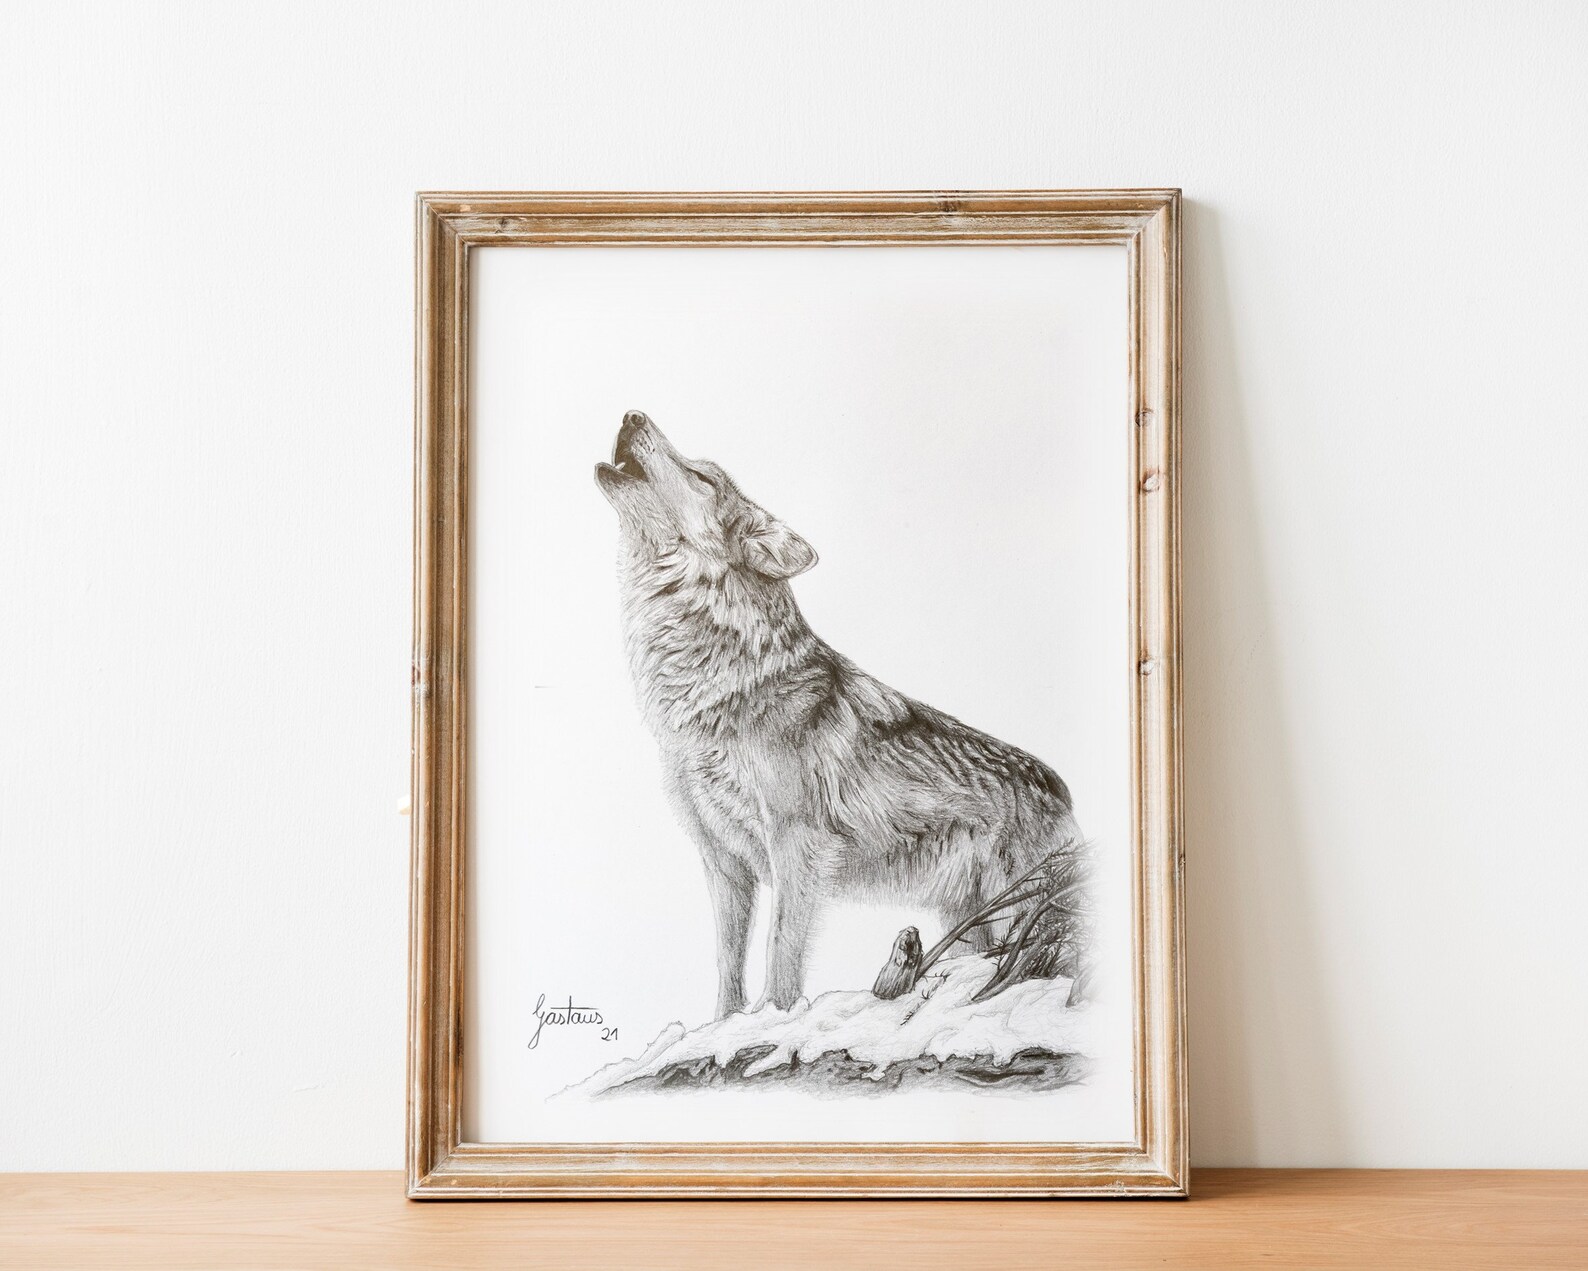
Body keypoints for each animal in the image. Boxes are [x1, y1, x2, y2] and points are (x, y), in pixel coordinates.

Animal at [596, 410, 1082, 1017]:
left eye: (702, 477)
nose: (631, 414)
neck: (716, 691)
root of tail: (1062, 789)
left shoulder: (797, 846)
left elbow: (780, 947)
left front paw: (772, 1017)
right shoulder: (722, 860)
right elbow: (727, 961)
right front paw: (726, 1023)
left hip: (1013, 908)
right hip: (968, 921)